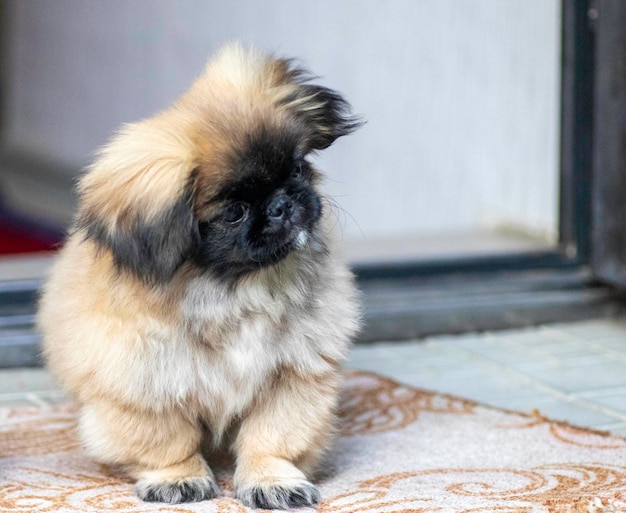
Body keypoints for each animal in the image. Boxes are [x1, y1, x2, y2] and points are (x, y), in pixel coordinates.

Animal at [37, 44, 360, 508]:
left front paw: (272, 482)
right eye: (234, 212)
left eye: (297, 169)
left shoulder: (295, 377)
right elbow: (167, 443)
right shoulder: (143, 391)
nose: (283, 204)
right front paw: (179, 478)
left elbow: (271, 439)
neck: (237, 289)